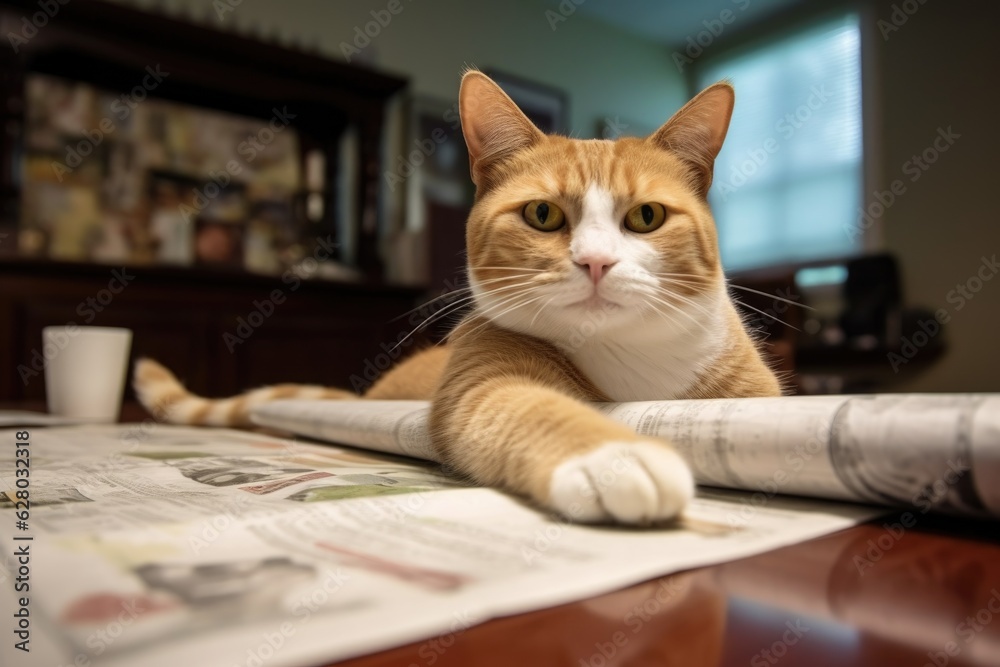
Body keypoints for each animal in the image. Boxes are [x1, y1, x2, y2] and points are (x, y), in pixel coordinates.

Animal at [133, 70, 776, 524]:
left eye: (646, 217)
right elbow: (533, 408)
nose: (595, 261)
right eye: (542, 214)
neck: (630, 361)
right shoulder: (480, 381)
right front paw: (615, 457)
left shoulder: (755, 395)